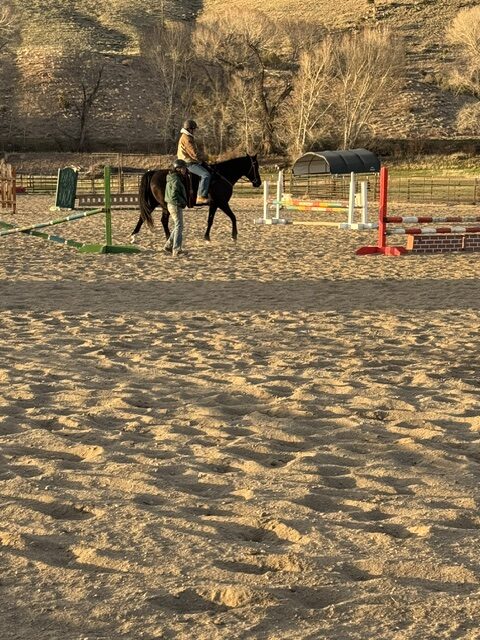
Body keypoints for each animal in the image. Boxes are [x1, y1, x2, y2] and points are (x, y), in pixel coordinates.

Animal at [130, 154, 261, 243]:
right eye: (255, 166)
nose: (258, 182)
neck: (222, 176)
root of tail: (154, 173)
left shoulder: (214, 205)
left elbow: (210, 220)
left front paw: (207, 237)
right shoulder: (221, 203)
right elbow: (232, 217)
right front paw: (234, 236)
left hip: (154, 203)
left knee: (144, 217)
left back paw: (134, 236)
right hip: (164, 205)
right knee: (163, 220)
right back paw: (167, 238)